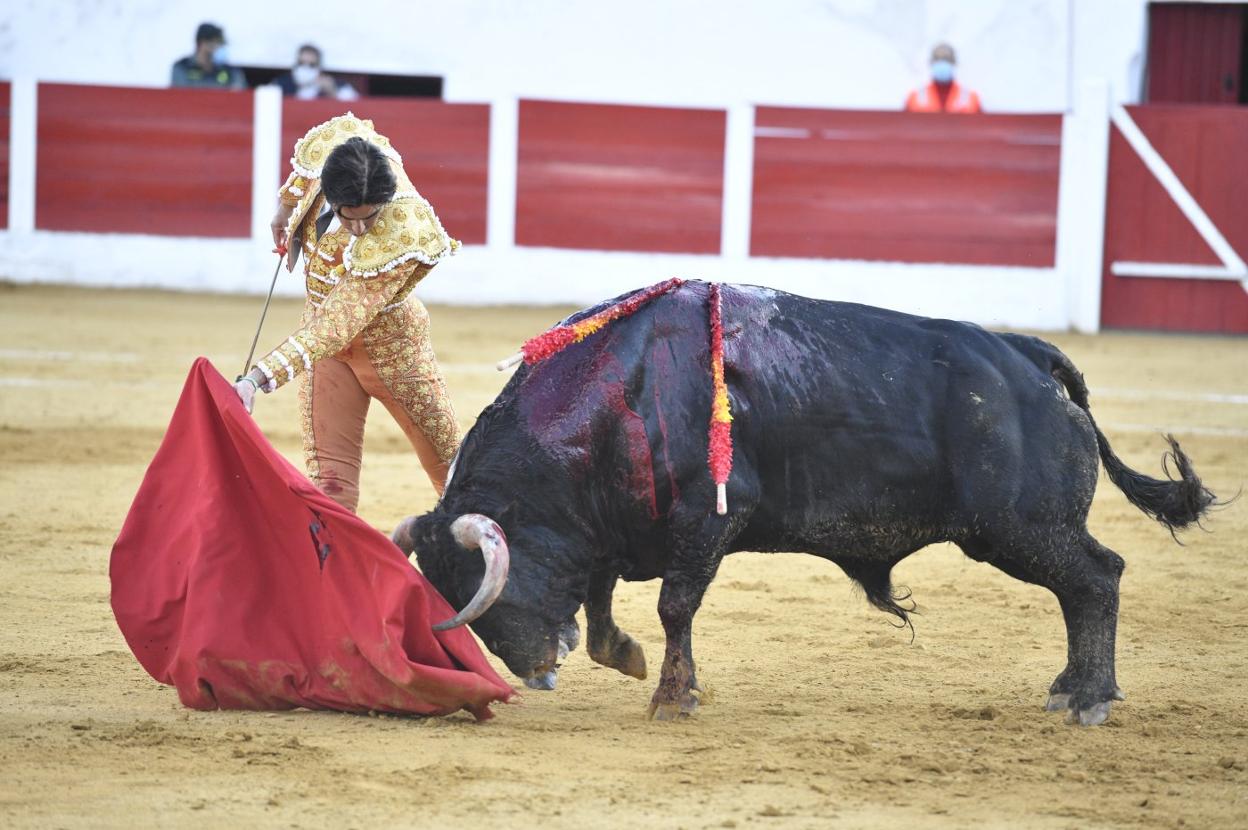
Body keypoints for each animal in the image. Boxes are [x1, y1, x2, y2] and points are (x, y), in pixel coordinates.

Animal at [394, 282, 1213, 723]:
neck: (622, 391)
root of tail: (1029, 356)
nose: (534, 671)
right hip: (1024, 530)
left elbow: (673, 607)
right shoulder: (619, 526)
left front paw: (671, 698)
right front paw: (624, 656)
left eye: (484, 588)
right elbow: (602, 596)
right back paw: (1070, 689)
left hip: (1018, 527)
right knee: (1084, 586)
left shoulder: (708, 520)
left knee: (1097, 579)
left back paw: (1090, 697)